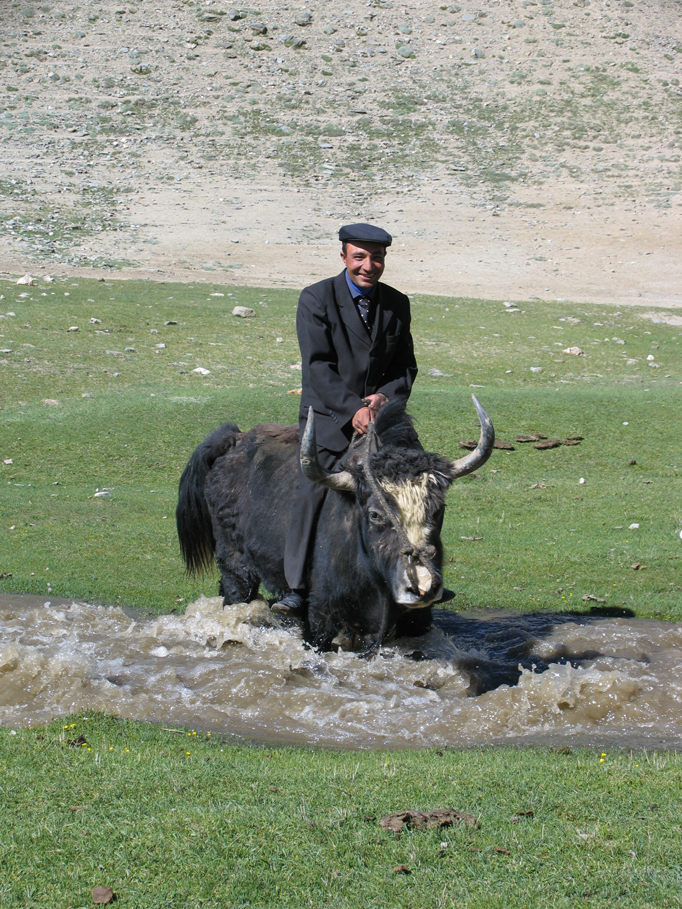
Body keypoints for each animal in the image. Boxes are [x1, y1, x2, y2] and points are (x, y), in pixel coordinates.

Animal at [176, 395, 494, 652]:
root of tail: (233, 442)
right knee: (236, 592)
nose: (424, 587)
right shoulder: (321, 617)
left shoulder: (417, 622)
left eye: (439, 510)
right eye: (375, 514)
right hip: (235, 564)